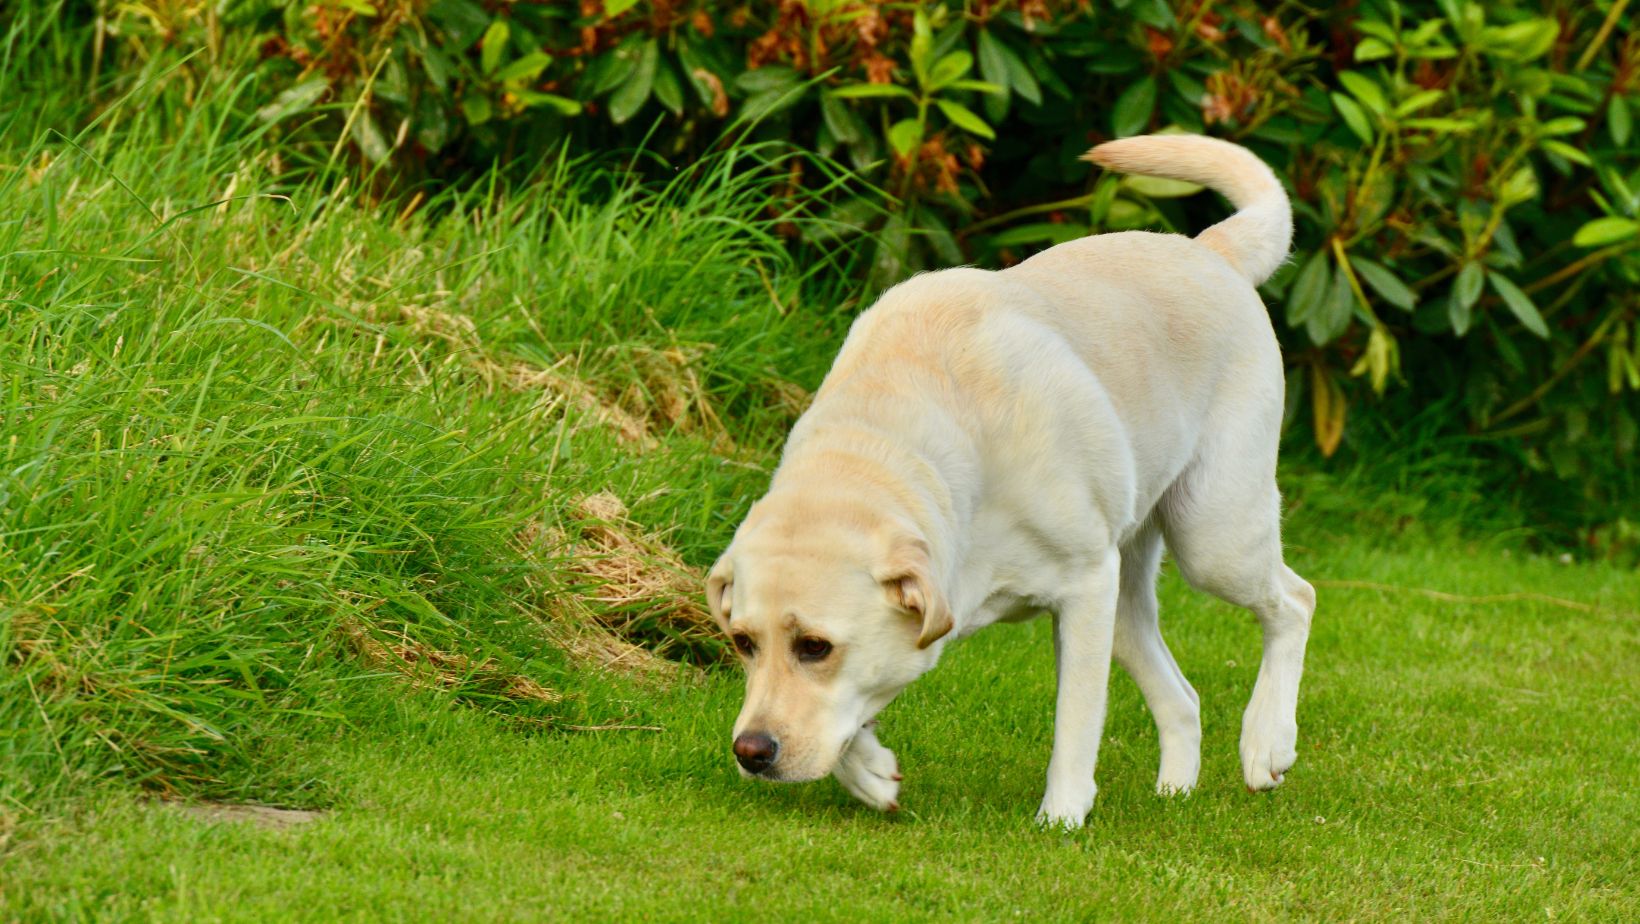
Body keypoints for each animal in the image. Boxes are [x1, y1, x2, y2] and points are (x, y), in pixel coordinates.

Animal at [706, 134, 1316, 829]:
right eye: (743, 642)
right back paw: (1175, 793)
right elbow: (857, 706)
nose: (750, 752)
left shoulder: (1084, 587)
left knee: (1295, 601)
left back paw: (1267, 741)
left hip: (1211, 538)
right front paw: (869, 773)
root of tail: (1211, 248)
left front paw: (1062, 817)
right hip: (1129, 600)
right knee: (1183, 697)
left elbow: (1076, 720)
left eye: (815, 646)